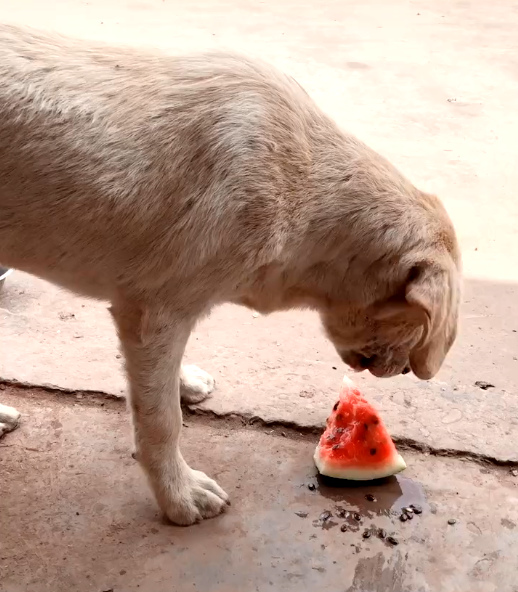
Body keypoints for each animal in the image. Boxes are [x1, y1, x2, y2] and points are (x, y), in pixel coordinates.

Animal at [0, 24, 464, 524]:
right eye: (424, 329)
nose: (404, 372)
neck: (302, 190)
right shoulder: (155, 313)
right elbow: (161, 421)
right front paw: (179, 495)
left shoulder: (158, 320)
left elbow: (159, 386)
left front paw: (182, 384)